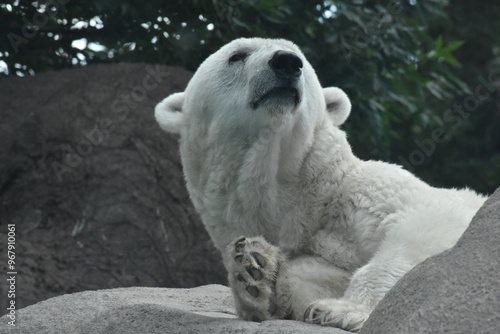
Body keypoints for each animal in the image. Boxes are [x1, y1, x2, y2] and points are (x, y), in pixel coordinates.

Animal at [154, 38, 486, 332]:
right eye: (237, 55)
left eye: (300, 56)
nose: (286, 62)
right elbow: (309, 277)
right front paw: (255, 271)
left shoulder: (365, 192)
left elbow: (426, 222)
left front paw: (343, 310)